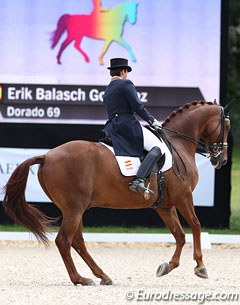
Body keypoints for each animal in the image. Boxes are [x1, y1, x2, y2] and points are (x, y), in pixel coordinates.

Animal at [0, 100, 232, 284]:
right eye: (227, 126)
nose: (221, 160)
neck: (179, 145)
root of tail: (47, 156)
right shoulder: (184, 197)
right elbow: (196, 226)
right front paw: (200, 266)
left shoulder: (165, 206)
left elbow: (180, 234)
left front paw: (167, 266)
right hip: (74, 209)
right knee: (64, 241)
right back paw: (81, 279)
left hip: (74, 209)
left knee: (77, 241)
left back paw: (102, 276)